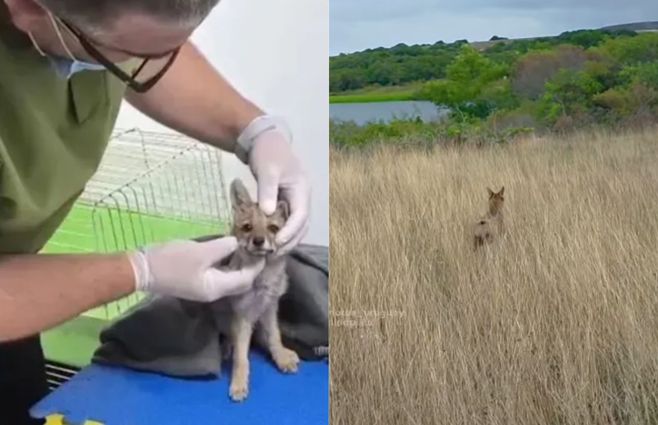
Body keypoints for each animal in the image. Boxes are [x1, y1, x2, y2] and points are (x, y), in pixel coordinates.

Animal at [213, 178, 300, 402]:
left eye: (273, 228)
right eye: (247, 227)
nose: (258, 241)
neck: (262, 282)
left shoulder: (269, 309)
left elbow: (274, 337)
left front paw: (281, 356)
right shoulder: (242, 316)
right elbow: (241, 358)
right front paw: (239, 382)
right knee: (228, 340)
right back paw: (225, 348)